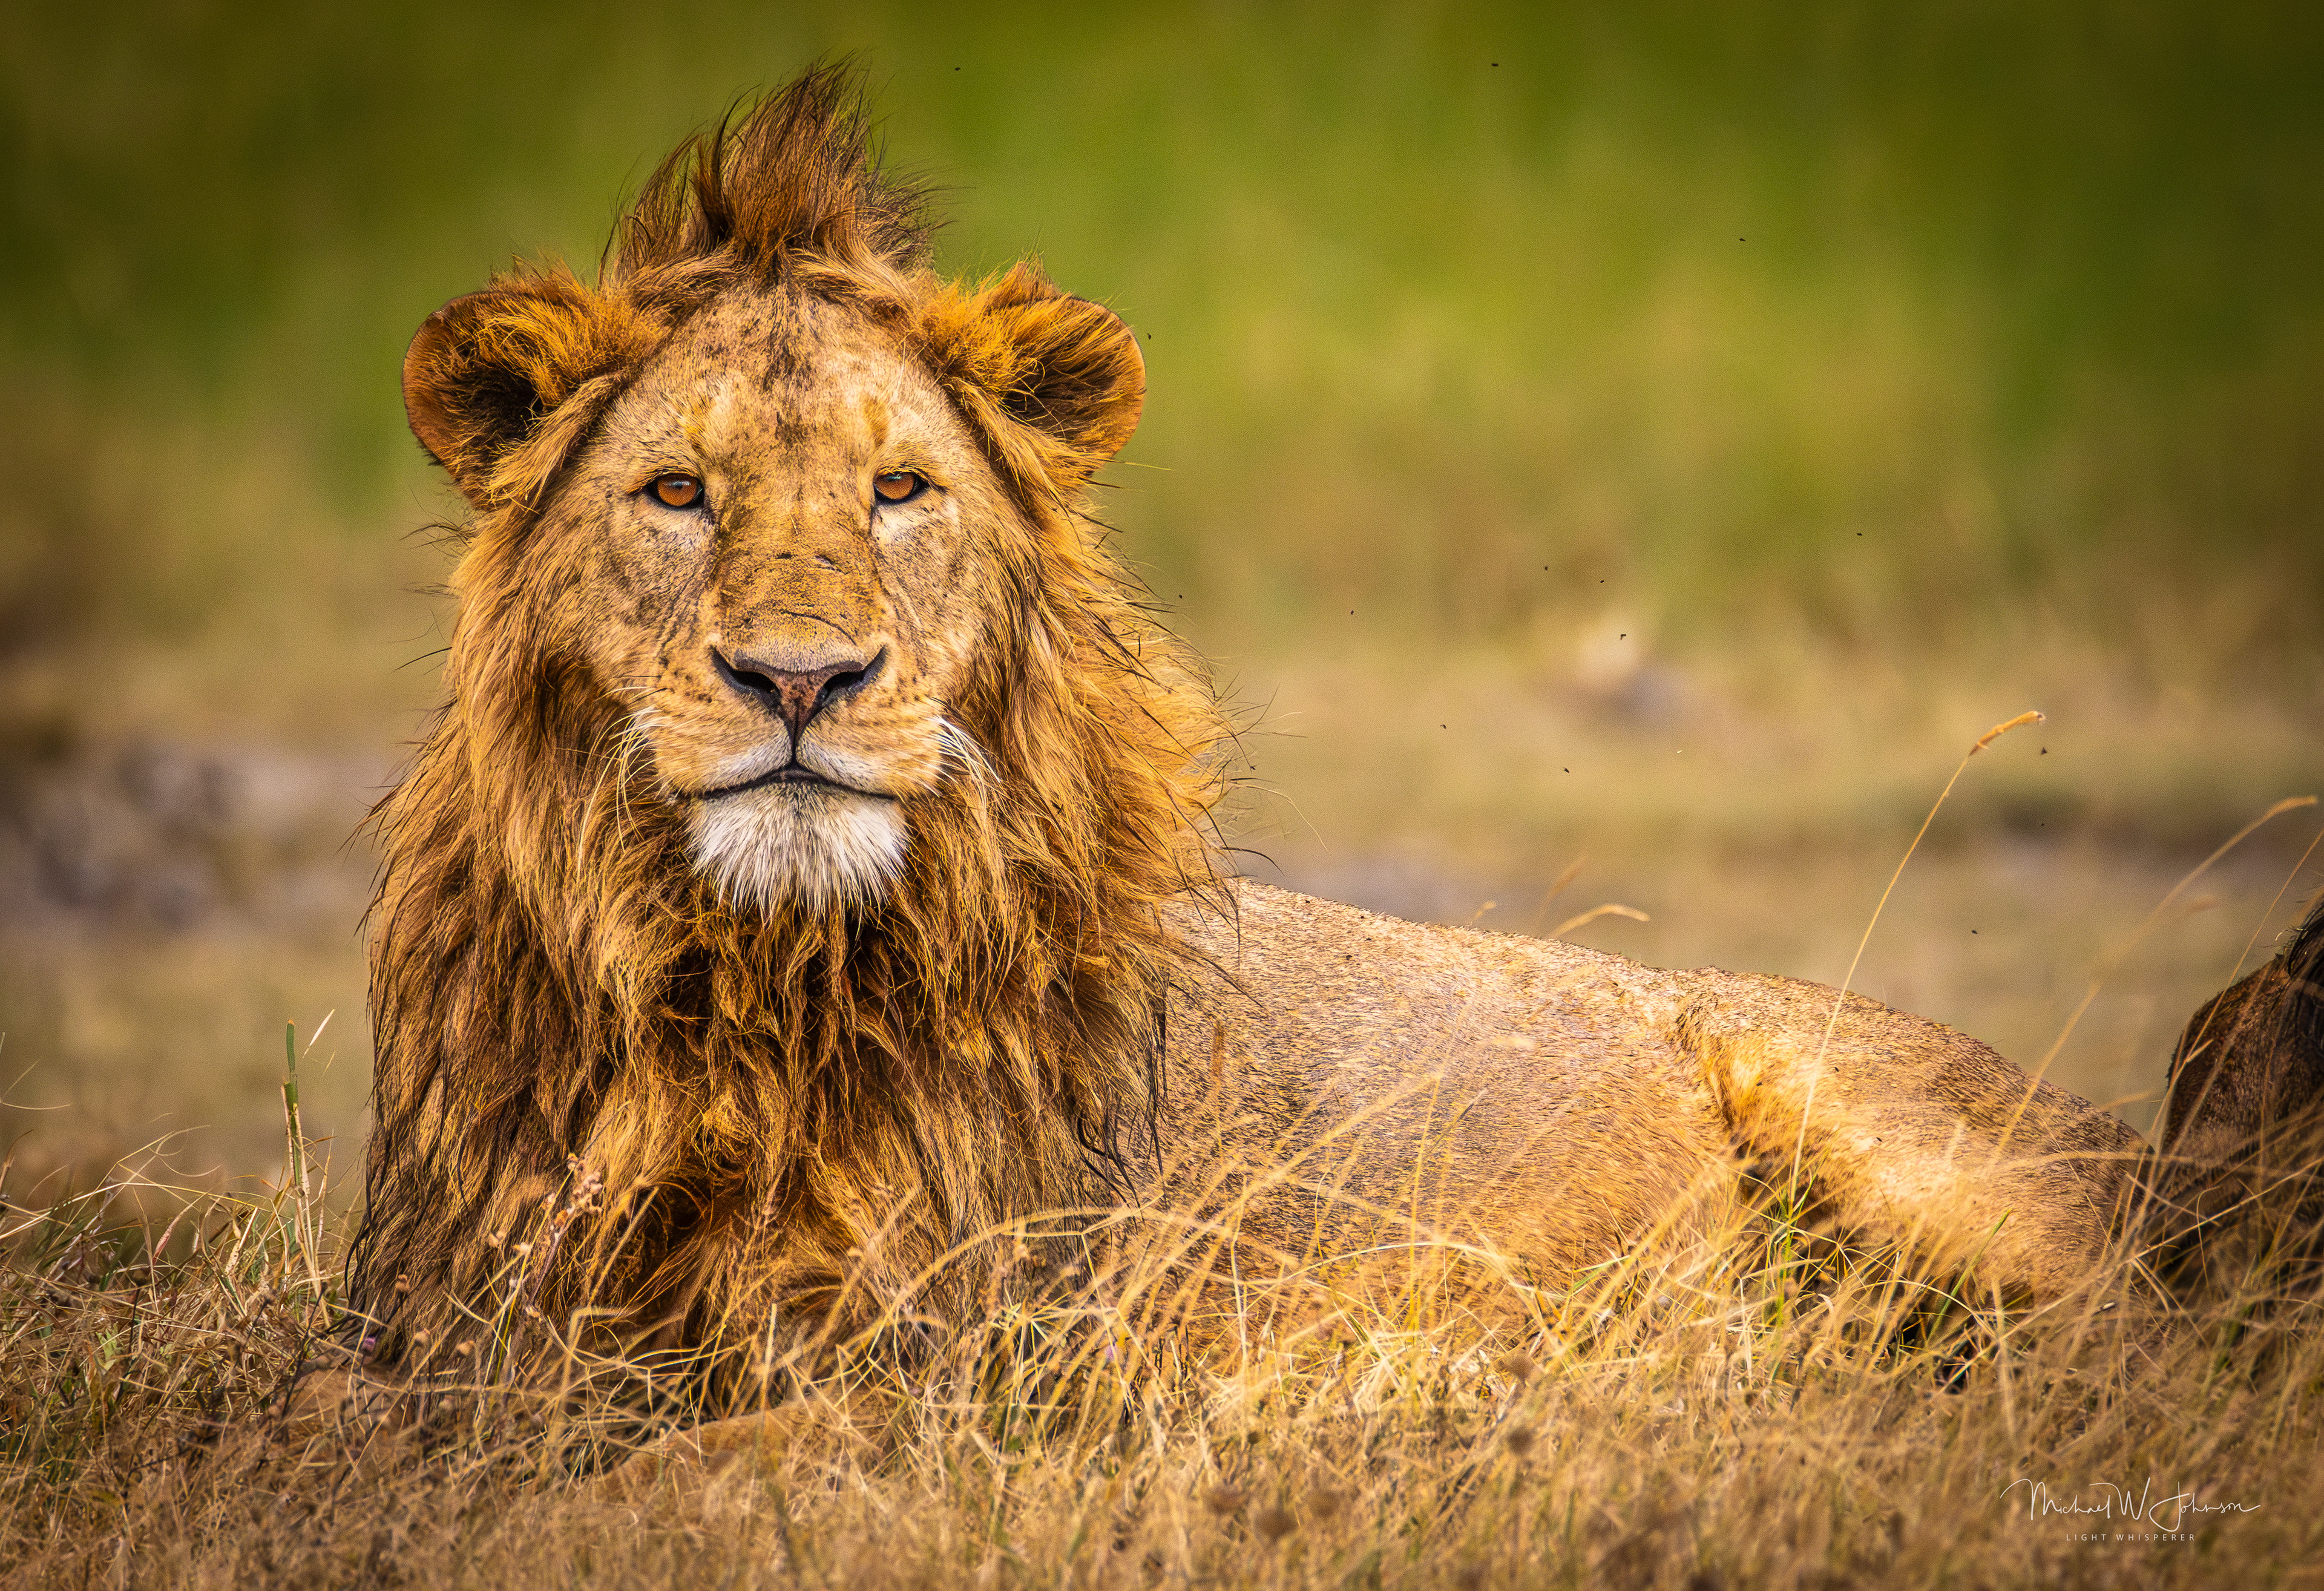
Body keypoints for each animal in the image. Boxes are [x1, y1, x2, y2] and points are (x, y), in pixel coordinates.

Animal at [348, 67, 2155, 1404]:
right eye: (675, 492)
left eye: (900, 489)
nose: (802, 680)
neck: (742, 978)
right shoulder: (452, 1341)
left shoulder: (971, 1372)